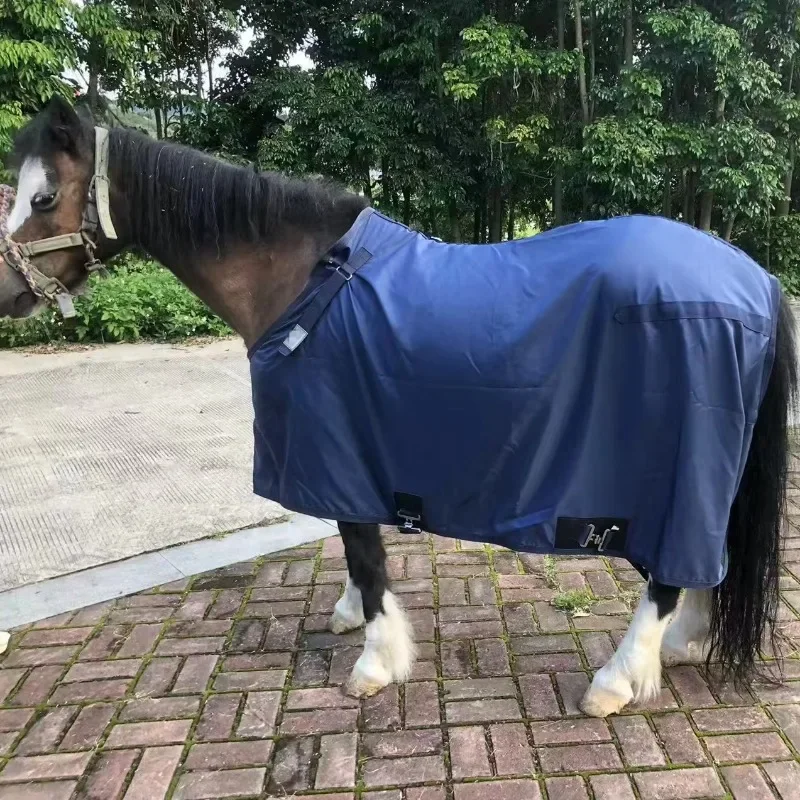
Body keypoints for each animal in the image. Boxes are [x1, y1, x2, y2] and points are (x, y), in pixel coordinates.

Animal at [0, 96, 795, 718]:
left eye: (42, 198)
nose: (8, 294)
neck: (304, 280)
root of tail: (752, 279)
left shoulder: (339, 450)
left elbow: (364, 549)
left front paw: (375, 663)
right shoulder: (344, 456)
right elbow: (355, 550)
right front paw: (352, 616)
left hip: (675, 478)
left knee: (665, 576)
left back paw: (617, 681)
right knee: (704, 559)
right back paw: (687, 645)